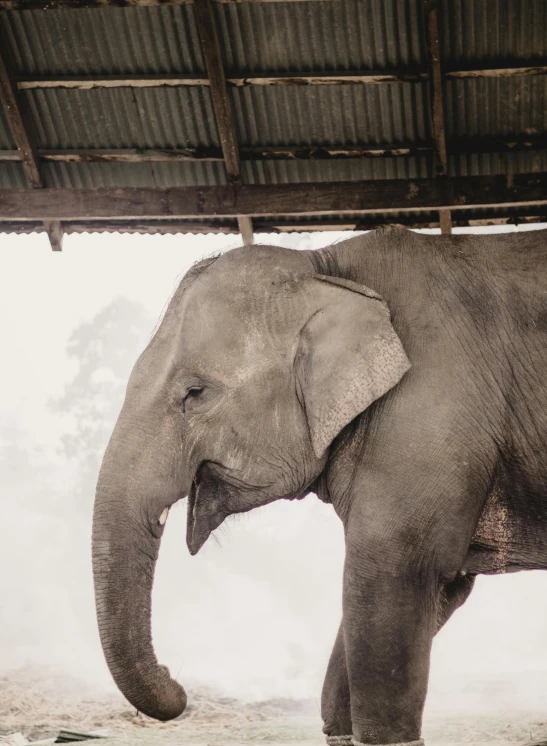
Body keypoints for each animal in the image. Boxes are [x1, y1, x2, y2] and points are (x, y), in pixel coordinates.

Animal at [92, 227, 547, 744]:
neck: (325, 267)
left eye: (195, 393)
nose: (177, 682)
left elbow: (389, 577)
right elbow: (423, 592)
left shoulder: (431, 411)